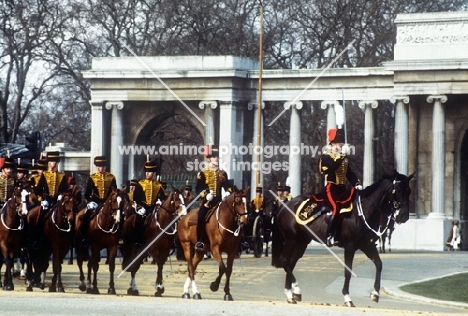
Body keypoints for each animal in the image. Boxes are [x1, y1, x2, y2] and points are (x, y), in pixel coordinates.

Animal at [270, 172, 414, 308]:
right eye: (398, 190)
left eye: (409, 191)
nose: (404, 216)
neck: (363, 211)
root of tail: (284, 205)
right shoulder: (350, 247)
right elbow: (348, 271)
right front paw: (347, 298)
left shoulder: (367, 245)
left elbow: (379, 264)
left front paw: (375, 294)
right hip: (291, 240)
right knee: (285, 260)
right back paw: (296, 290)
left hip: (302, 242)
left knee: (291, 263)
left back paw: (291, 294)